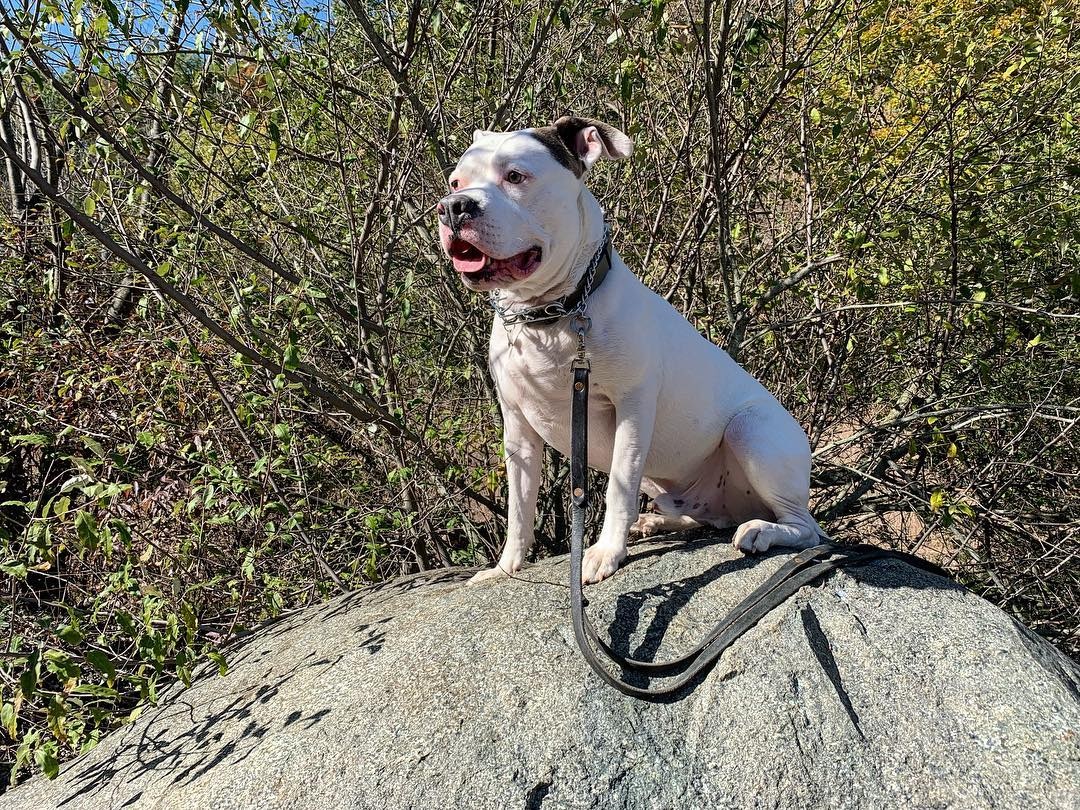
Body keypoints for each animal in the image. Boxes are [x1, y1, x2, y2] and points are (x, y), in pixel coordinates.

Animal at [436, 117, 816, 583]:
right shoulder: (518, 428)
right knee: (706, 515)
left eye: (516, 176)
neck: (551, 315)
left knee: (806, 527)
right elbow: (520, 508)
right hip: (675, 481)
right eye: (456, 181)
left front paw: (604, 553)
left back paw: (762, 531)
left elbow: (618, 486)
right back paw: (658, 521)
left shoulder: (631, 410)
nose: (453, 206)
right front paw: (506, 568)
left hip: (752, 431)